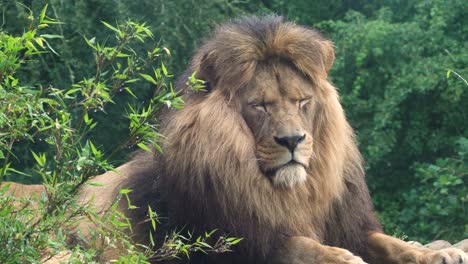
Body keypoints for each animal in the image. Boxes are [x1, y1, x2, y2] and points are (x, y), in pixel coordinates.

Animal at [1, 15, 466, 262]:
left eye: (302, 101)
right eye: (259, 105)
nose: (293, 140)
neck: (290, 192)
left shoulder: (348, 221)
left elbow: (390, 243)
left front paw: (437, 253)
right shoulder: (224, 241)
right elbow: (299, 245)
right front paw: (341, 257)